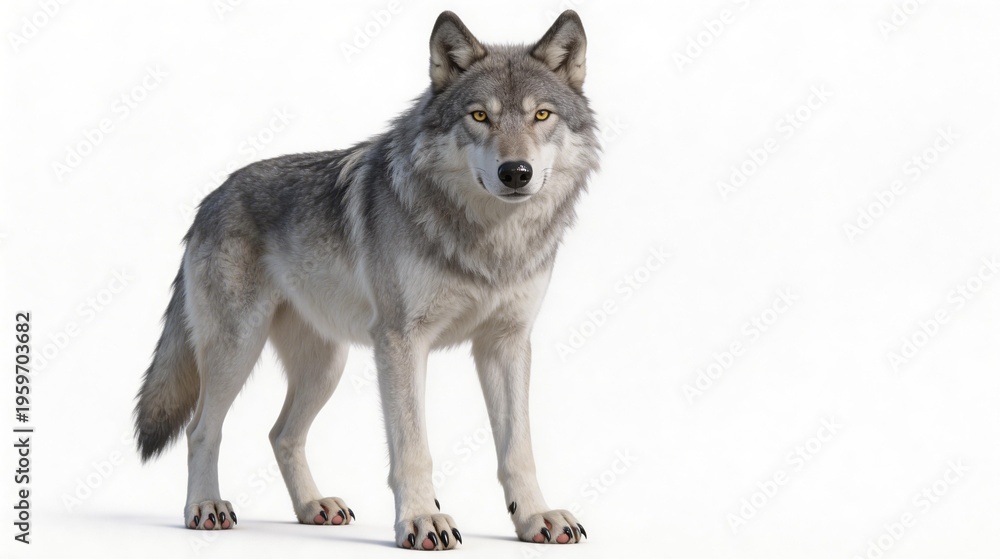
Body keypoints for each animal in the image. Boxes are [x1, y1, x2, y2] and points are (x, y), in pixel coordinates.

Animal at [133, 10, 599, 550]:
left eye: (541, 115)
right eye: (479, 116)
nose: (516, 172)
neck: (490, 241)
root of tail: (209, 198)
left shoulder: (506, 343)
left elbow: (518, 449)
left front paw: (535, 517)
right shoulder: (401, 341)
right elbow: (413, 447)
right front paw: (422, 520)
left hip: (326, 367)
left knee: (281, 435)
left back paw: (313, 507)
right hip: (238, 349)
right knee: (201, 430)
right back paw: (206, 506)